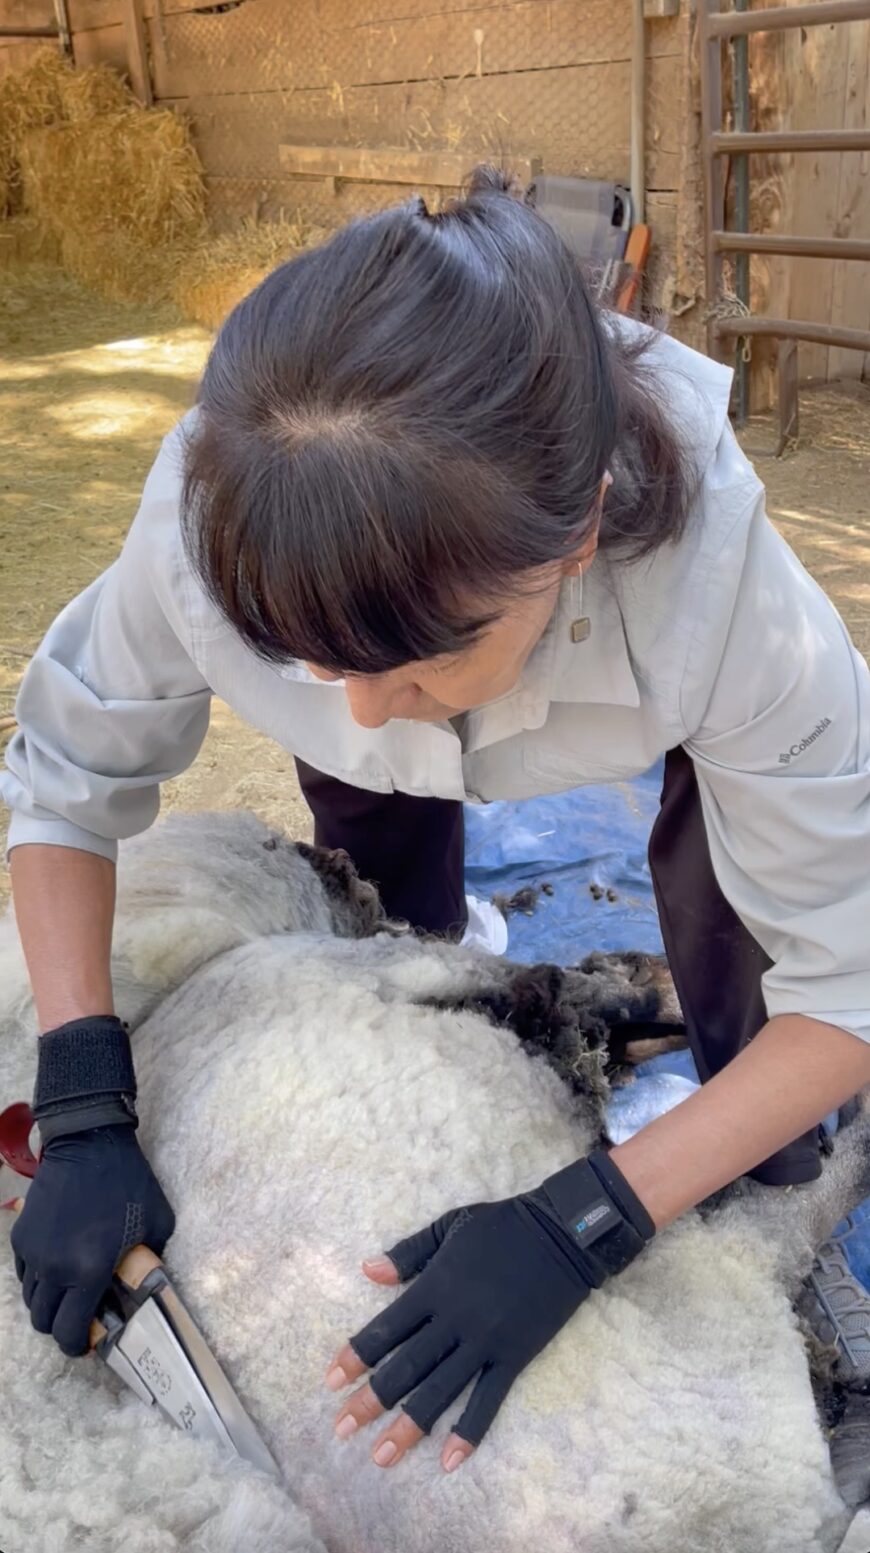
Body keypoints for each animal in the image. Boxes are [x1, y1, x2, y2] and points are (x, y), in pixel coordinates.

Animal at [0, 813, 863, 1553]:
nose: (337, 862)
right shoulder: (447, 973)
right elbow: (597, 996)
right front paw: (655, 992)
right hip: (717, 1311)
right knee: (791, 1211)